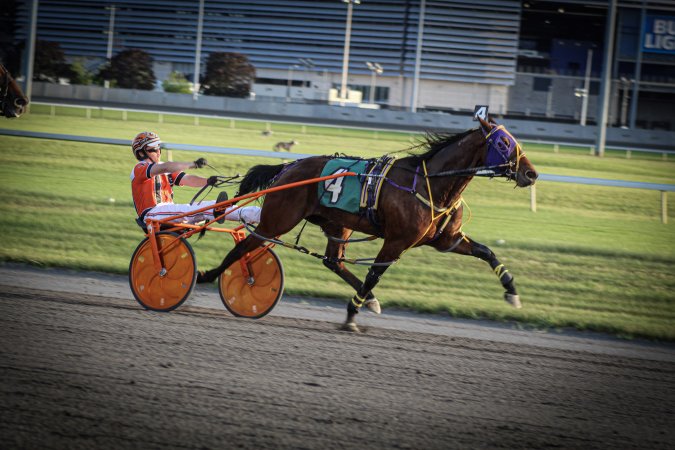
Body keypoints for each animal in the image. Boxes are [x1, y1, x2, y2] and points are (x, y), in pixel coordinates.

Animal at [199, 118, 540, 332]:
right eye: (503, 142)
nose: (531, 174)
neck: (430, 183)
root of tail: (288, 167)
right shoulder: (396, 241)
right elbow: (374, 275)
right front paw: (351, 316)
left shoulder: (446, 240)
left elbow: (487, 252)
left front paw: (512, 291)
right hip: (277, 220)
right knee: (245, 246)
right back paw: (207, 275)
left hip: (336, 223)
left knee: (333, 261)